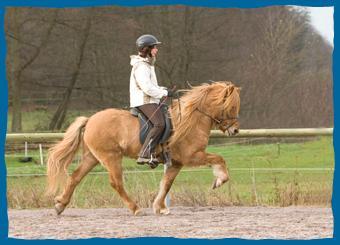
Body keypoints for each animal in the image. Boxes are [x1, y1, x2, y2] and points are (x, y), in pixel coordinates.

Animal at [46, 80, 240, 214]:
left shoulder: (176, 163)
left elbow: (166, 184)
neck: (191, 119)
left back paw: (60, 205)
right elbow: (219, 158)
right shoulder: (191, 156)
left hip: (92, 157)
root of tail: (90, 120)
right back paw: (135, 208)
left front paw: (159, 207)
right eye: (231, 107)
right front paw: (219, 180)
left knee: (75, 177)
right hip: (111, 157)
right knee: (116, 183)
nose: (235, 130)